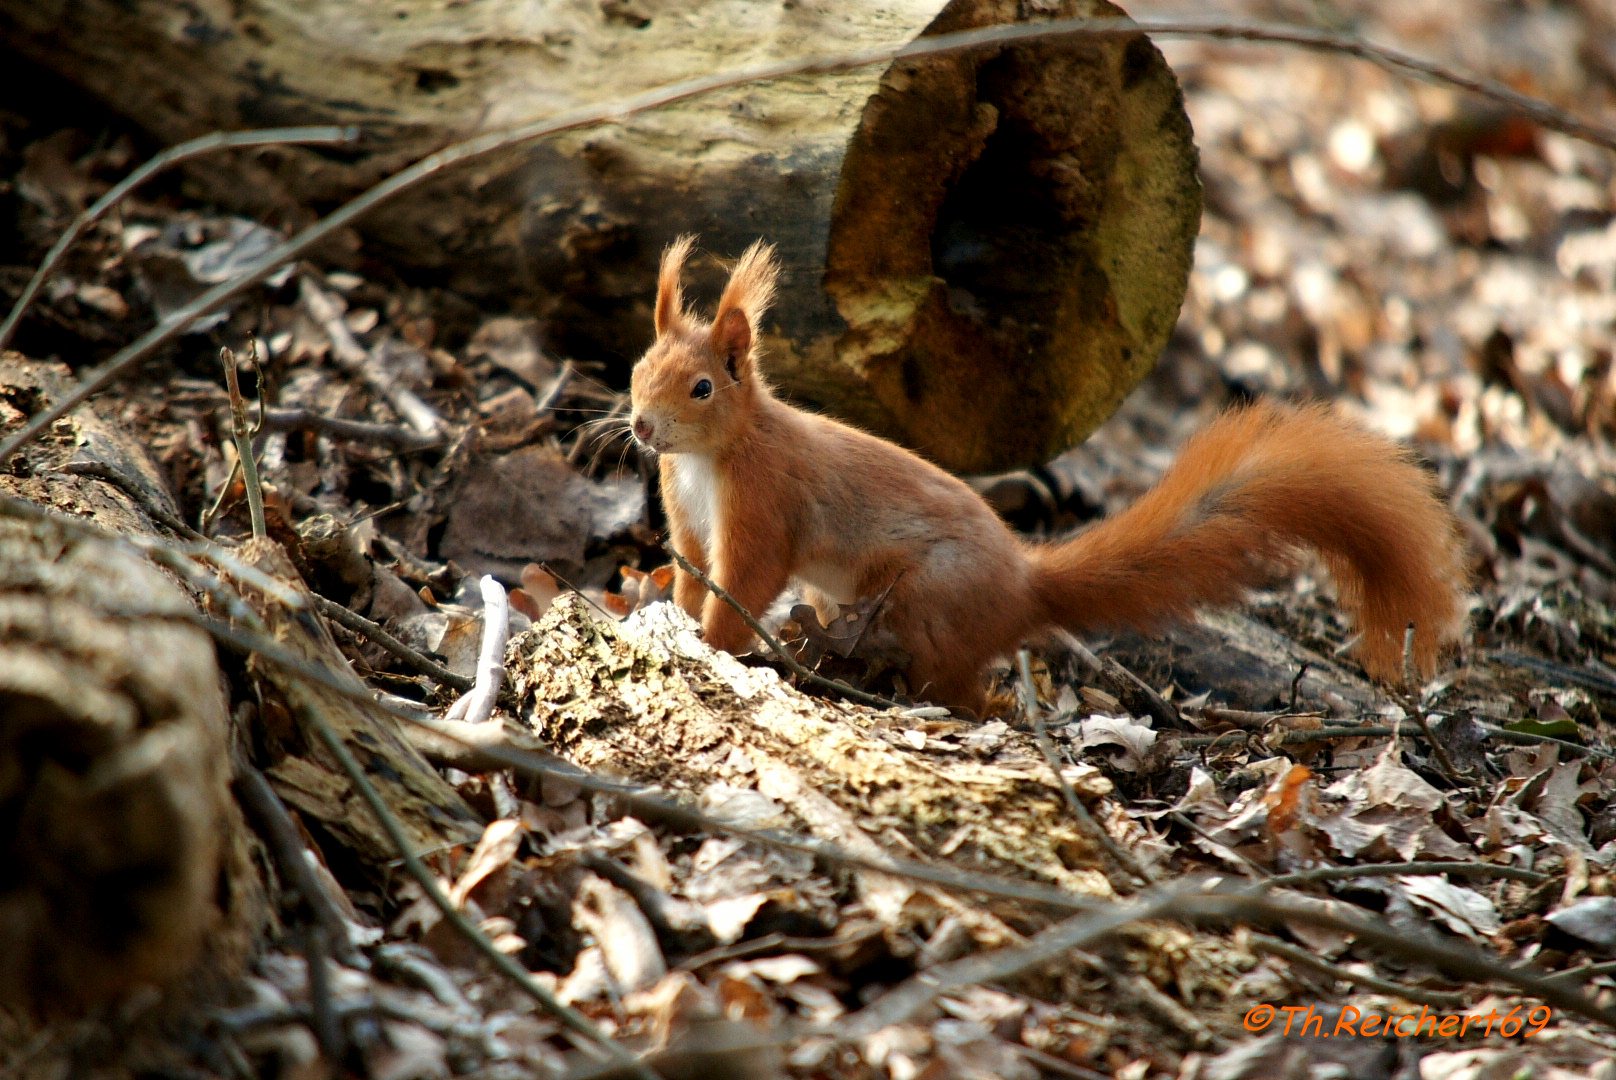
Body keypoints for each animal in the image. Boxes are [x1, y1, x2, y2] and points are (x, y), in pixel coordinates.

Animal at [627, 234, 1467, 708]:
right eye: (639, 367)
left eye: (701, 388)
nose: (639, 426)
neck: (708, 458)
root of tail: (1024, 584)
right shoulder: (690, 518)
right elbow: (694, 571)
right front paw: (661, 609)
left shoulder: (766, 504)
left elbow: (745, 581)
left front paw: (710, 645)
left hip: (930, 606)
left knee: (957, 685)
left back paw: (984, 708)